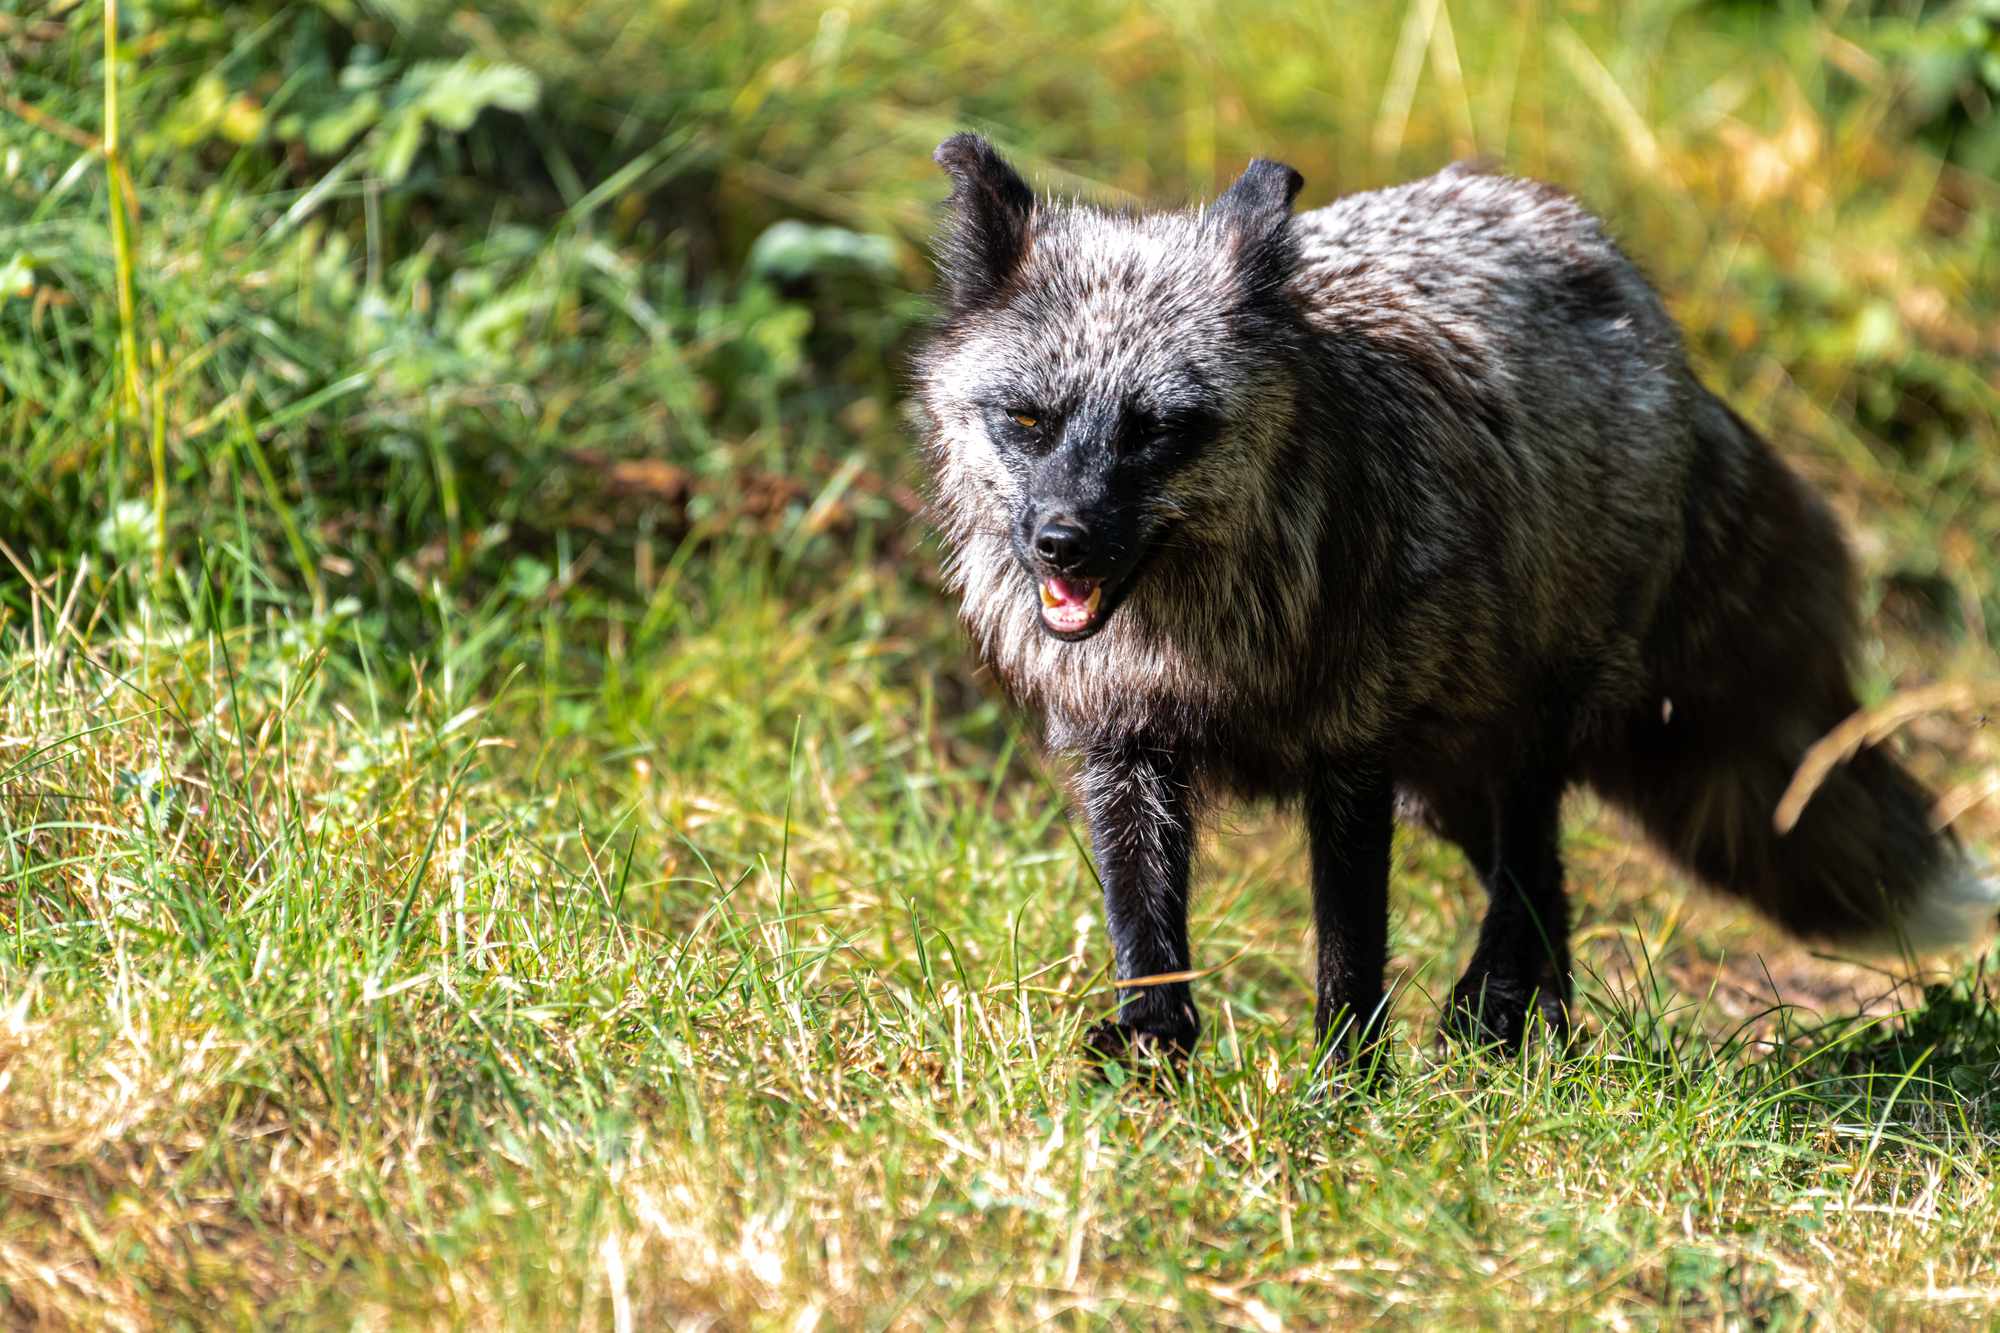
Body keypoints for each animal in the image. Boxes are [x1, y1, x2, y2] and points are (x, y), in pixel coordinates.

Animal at [913, 132, 1997, 1075]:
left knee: (1528, 869)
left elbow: (1349, 959)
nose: (1060, 542)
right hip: (1441, 779)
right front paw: (1152, 1051)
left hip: (1518, 728)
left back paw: (1495, 1013)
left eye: (1152, 431)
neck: (1195, 648)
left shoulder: (1349, 758)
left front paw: (1345, 1095)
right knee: (1547, 891)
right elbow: (1146, 930)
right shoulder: (1123, 745)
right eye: (1026, 421)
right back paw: (1535, 1042)